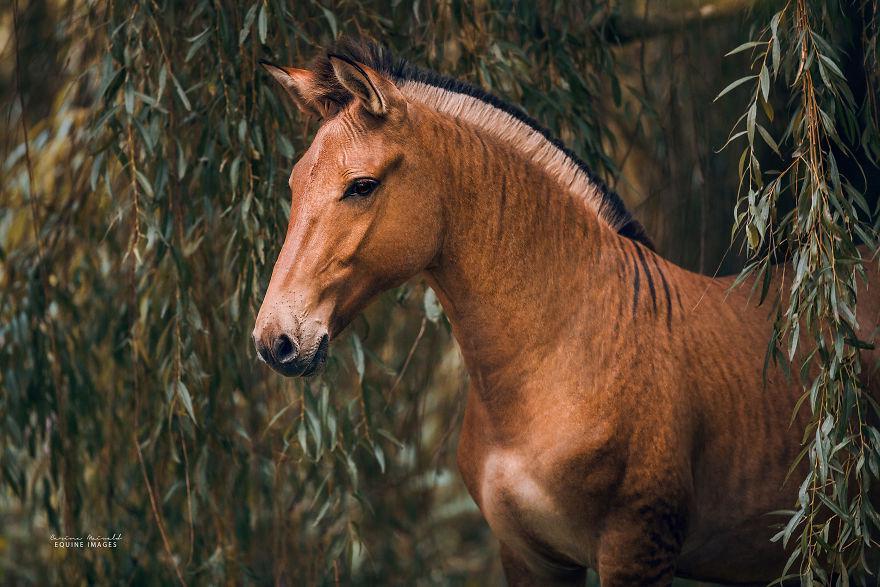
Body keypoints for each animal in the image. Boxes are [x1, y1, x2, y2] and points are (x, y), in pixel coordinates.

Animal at [249, 39, 880, 584]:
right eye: (295, 182)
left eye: (361, 185)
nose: (275, 340)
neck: (562, 353)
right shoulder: (529, 557)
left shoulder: (635, 553)